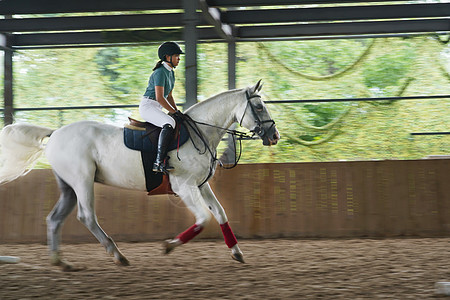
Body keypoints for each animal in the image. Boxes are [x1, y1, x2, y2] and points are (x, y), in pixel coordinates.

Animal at [0, 81, 280, 270]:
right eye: (258, 106)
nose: (274, 136)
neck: (199, 133)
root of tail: (56, 132)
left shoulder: (201, 186)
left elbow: (220, 214)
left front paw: (237, 252)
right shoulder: (184, 187)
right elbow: (203, 219)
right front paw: (169, 245)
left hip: (68, 186)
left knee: (54, 219)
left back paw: (61, 262)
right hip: (82, 181)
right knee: (86, 216)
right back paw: (118, 255)